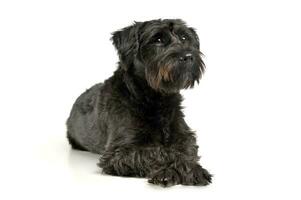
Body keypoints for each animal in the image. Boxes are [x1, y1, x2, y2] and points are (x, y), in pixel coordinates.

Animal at [66, 18, 211, 186]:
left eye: (184, 37)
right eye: (158, 40)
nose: (188, 56)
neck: (156, 99)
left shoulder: (184, 136)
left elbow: (186, 150)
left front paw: (192, 168)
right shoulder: (120, 152)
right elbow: (159, 152)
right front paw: (169, 171)